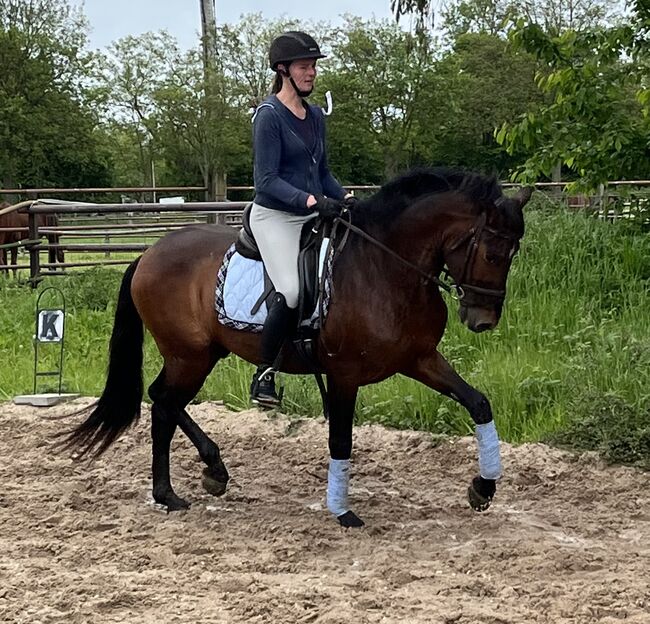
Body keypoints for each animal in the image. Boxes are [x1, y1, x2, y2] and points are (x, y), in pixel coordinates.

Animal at [60, 169, 532, 528]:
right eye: (492, 254)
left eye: (513, 255)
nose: (482, 320)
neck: (386, 266)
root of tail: (147, 254)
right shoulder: (343, 374)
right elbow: (341, 439)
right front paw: (342, 511)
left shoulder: (419, 359)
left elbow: (478, 403)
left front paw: (483, 488)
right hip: (187, 355)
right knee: (163, 402)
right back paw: (174, 490)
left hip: (202, 353)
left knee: (165, 402)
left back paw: (201, 477)